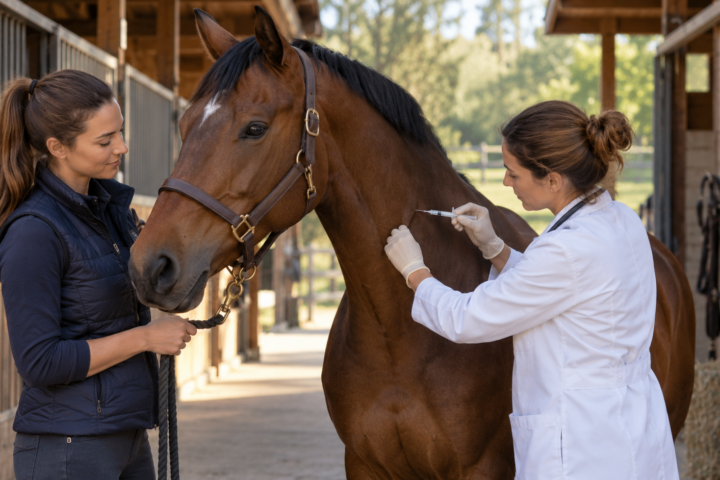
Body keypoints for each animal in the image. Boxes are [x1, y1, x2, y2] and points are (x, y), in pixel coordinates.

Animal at [129, 7, 695, 478]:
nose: (150, 265)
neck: (397, 335)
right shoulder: (364, 465)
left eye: (254, 128)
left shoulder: (480, 470)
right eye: (183, 123)